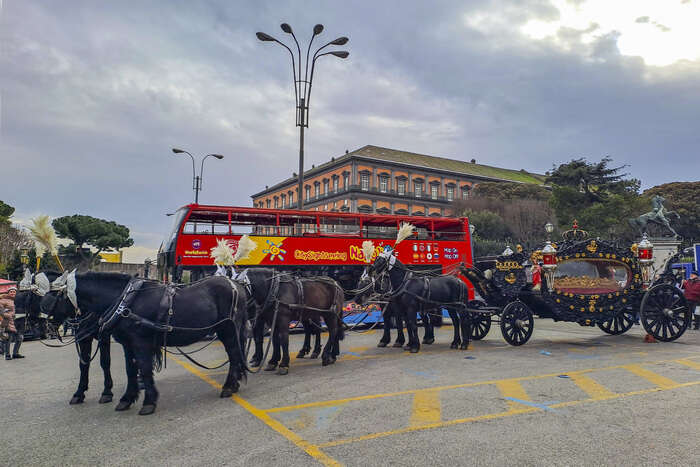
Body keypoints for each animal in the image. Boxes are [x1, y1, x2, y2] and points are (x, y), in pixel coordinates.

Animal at [41, 272, 249, 414]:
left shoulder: (140, 342)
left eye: (53, 296)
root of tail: (237, 285)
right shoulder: (127, 343)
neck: (125, 301)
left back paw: (229, 386)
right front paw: (127, 398)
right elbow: (130, 370)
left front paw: (149, 401)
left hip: (228, 330)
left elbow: (145, 368)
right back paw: (234, 384)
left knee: (234, 354)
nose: (47, 325)